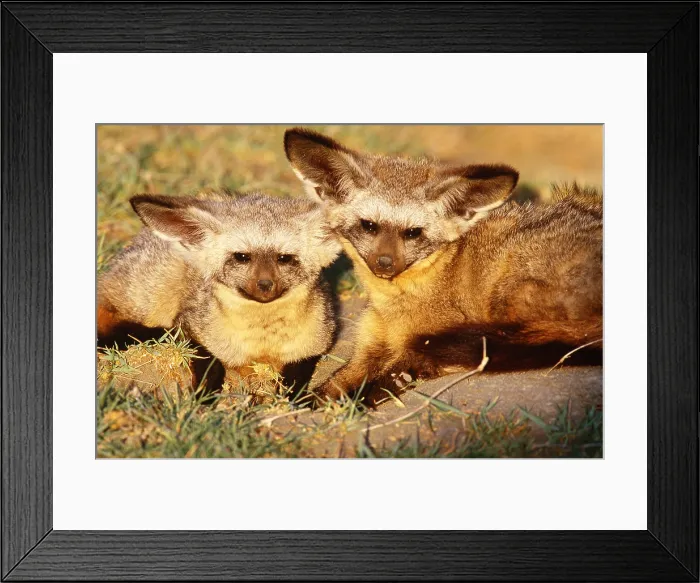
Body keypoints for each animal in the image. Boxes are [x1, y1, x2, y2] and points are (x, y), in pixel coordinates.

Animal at [97, 191, 341, 396]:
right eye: (242, 257)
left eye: (284, 258)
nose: (265, 285)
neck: (262, 344)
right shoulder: (190, 329)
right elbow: (211, 364)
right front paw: (204, 394)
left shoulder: (315, 344)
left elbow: (296, 378)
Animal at [284, 128, 603, 404]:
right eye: (369, 226)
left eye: (413, 233)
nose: (385, 264)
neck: (395, 307)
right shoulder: (370, 343)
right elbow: (339, 380)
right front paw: (319, 400)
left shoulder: (430, 334)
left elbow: (408, 364)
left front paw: (376, 391)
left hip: (511, 290)